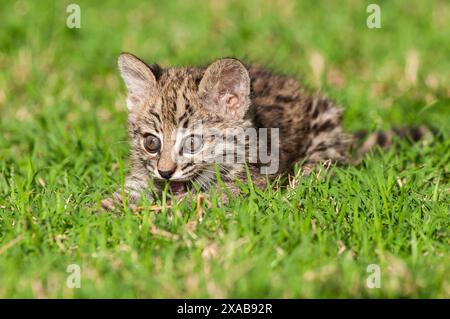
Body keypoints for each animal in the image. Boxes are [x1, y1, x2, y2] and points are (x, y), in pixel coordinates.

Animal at [101, 52, 428, 210]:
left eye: (192, 143)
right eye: (151, 143)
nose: (166, 172)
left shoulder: (251, 183)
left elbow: (205, 197)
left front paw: (169, 210)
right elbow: (128, 192)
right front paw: (101, 210)